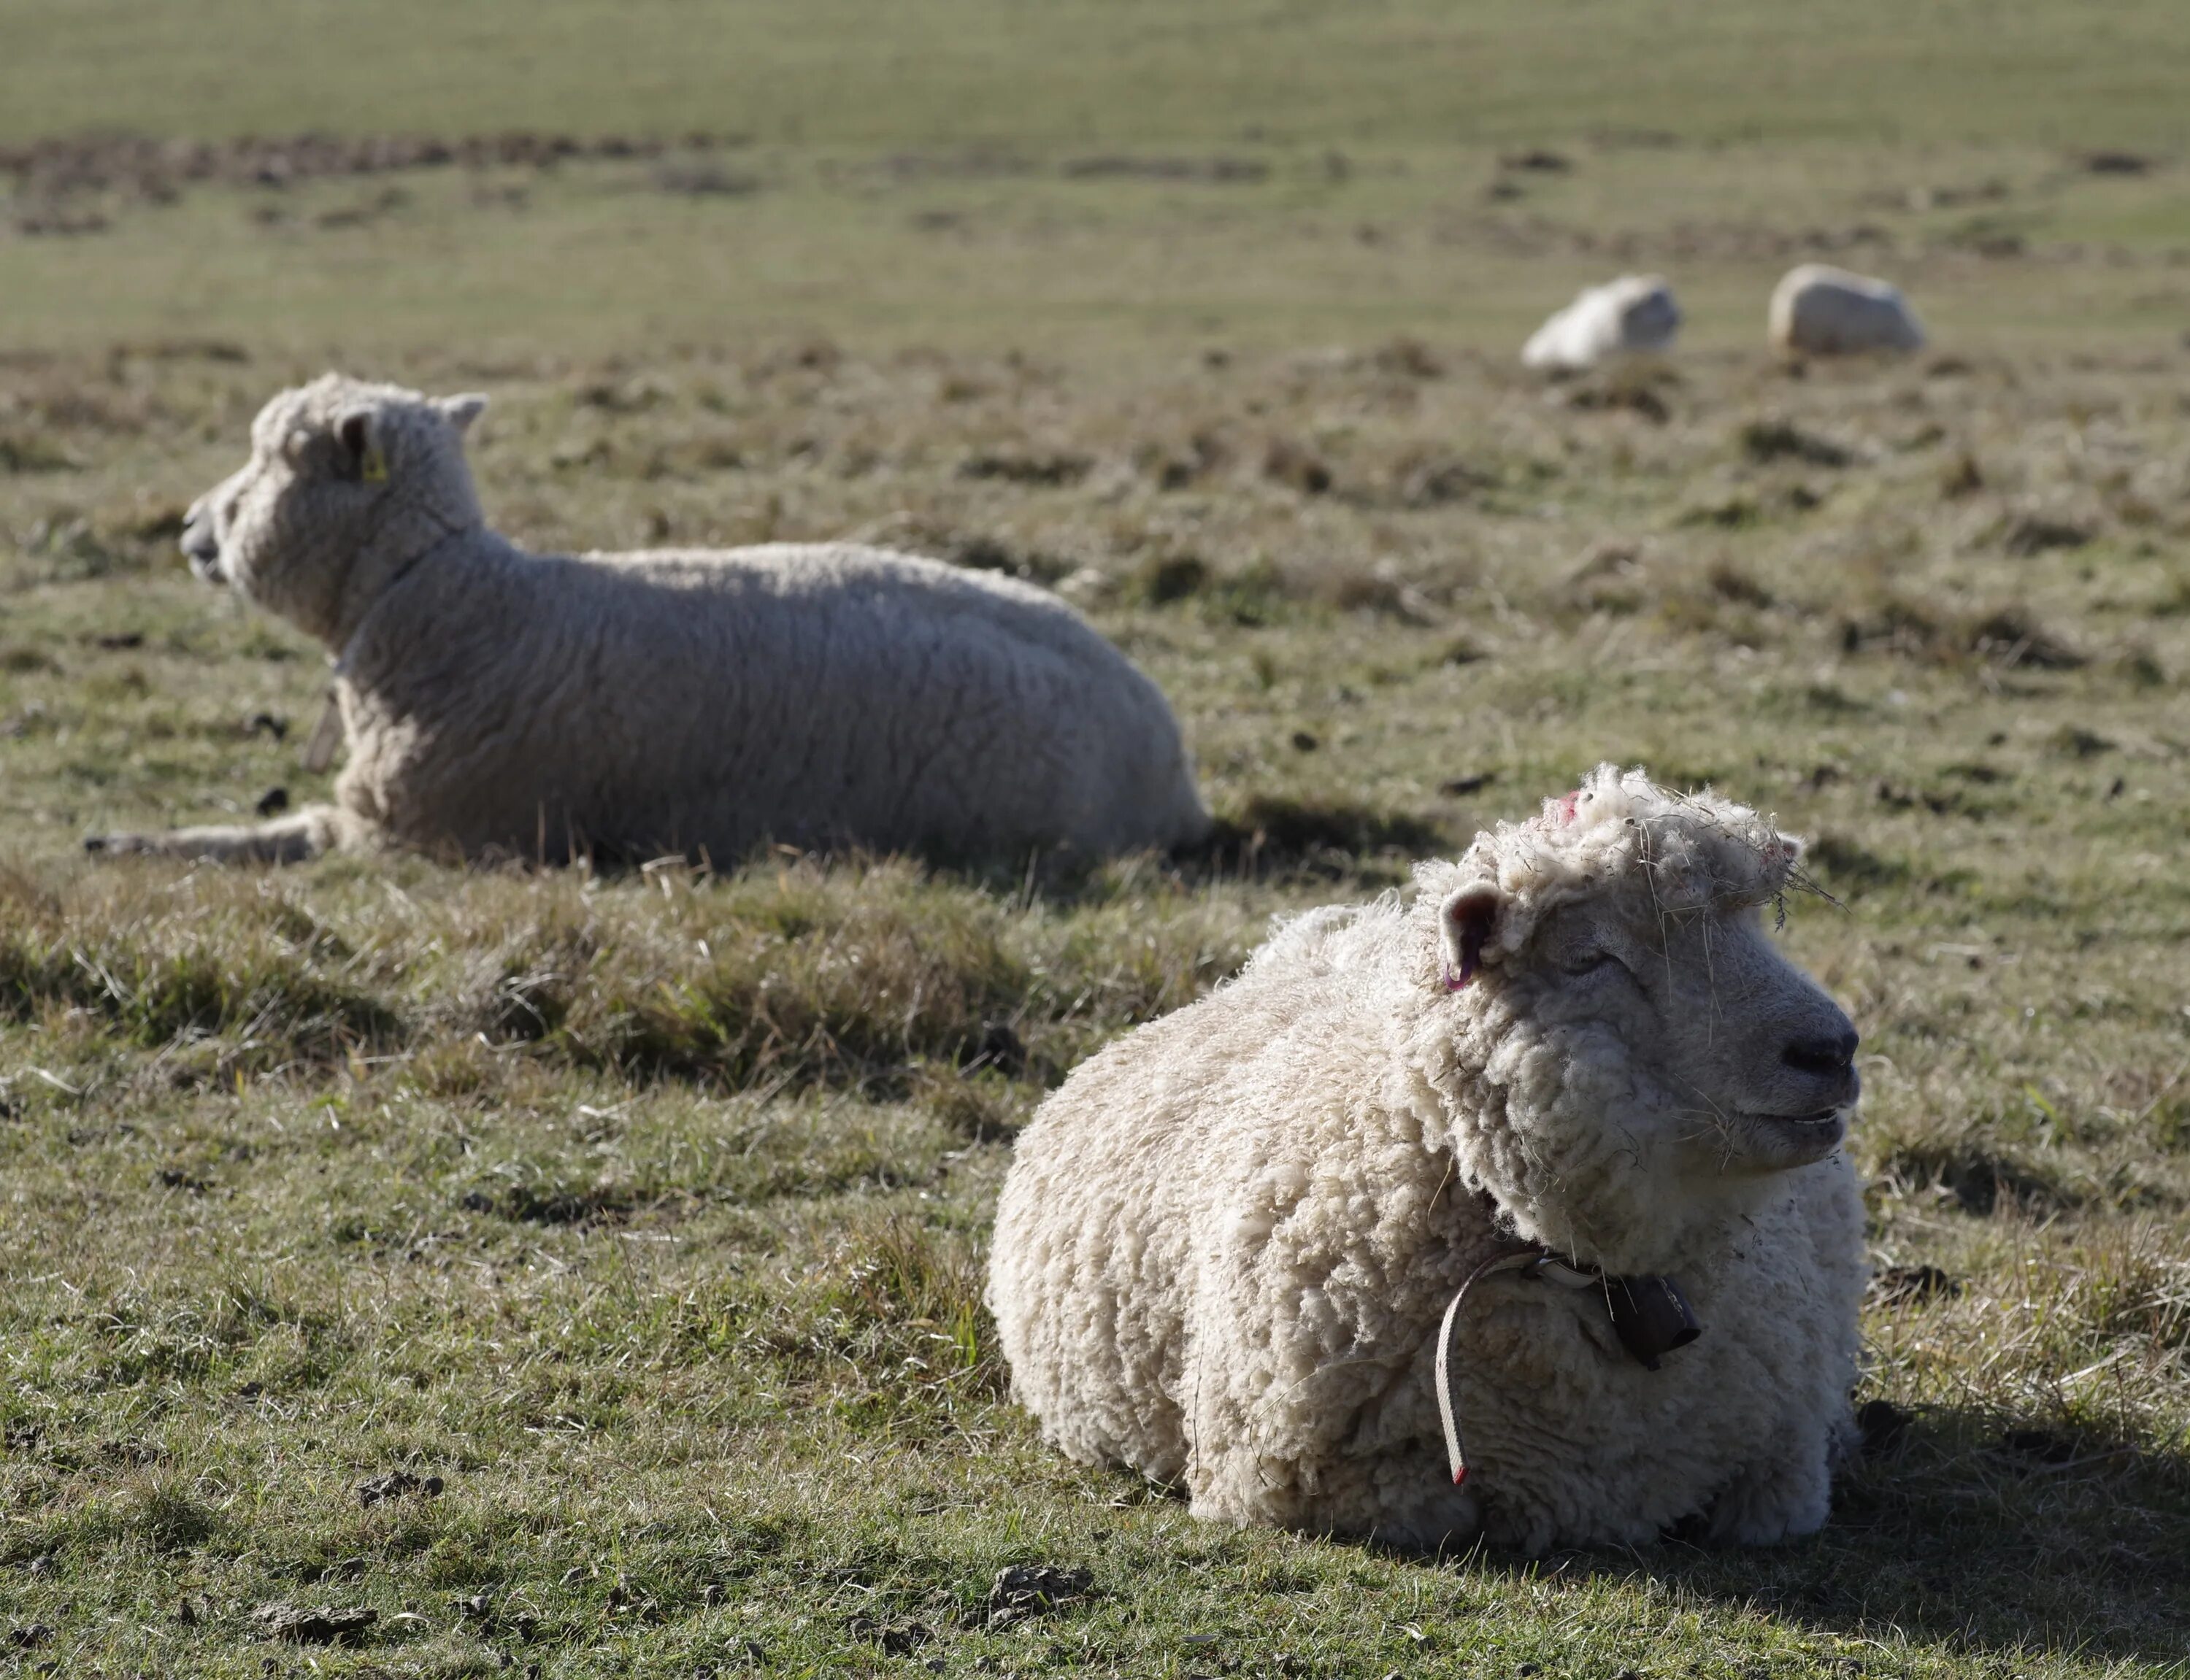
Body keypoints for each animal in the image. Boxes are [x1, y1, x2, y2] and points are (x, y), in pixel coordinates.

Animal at [90, 370, 1218, 867]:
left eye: (273, 460)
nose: (189, 525)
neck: (457, 606)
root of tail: (1172, 752)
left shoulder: (415, 833)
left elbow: (271, 839)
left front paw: (136, 841)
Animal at [994, 771, 1866, 1559]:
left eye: (1757, 932)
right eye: (1591, 959)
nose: (1832, 1049)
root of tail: (1315, 937)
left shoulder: (1782, 1468)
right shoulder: (1327, 1485)